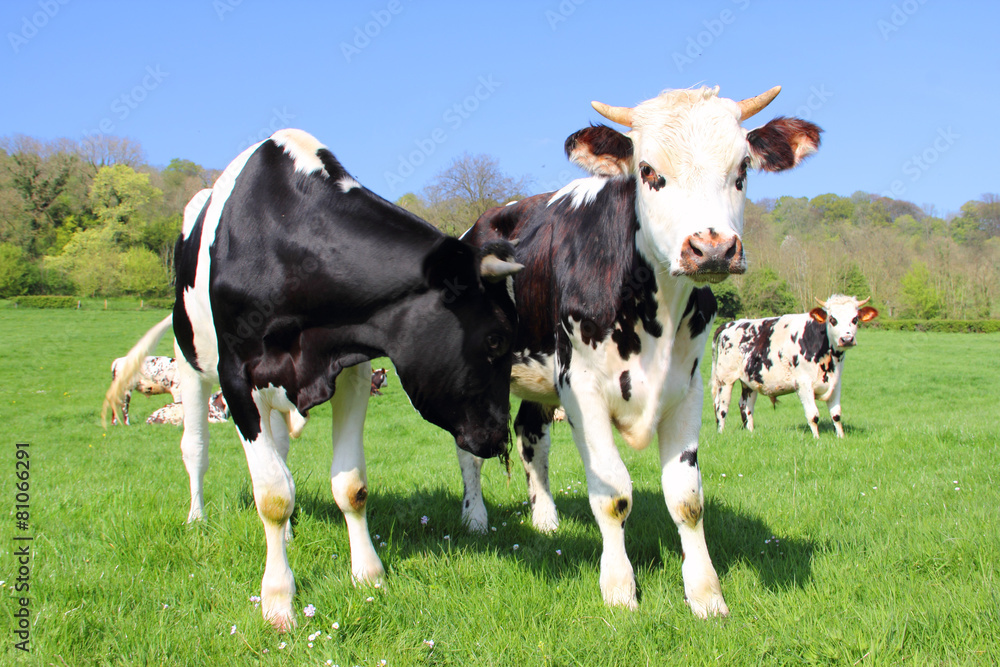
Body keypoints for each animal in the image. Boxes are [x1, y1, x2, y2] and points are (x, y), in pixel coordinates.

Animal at [103, 129, 522, 631]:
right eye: (496, 339)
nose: (500, 437)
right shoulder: (237, 379)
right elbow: (270, 496)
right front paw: (278, 600)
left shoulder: (352, 370)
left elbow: (350, 486)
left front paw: (369, 576)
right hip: (191, 366)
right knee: (197, 450)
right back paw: (197, 518)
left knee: (281, 455)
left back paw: (285, 536)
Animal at [456, 86, 821, 617]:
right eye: (648, 170)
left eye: (742, 169)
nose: (712, 249)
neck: (656, 313)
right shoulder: (581, 387)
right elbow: (612, 495)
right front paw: (619, 588)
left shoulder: (688, 388)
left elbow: (687, 499)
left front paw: (706, 594)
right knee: (471, 448)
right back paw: (475, 517)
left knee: (529, 437)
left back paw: (545, 518)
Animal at [711, 294, 878, 438]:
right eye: (832, 319)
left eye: (855, 319)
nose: (847, 339)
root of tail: (733, 323)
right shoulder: (803, 384)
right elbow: (813, 415)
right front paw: (817, 439)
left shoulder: (836, 382)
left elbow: (836, 415)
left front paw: (840, 437)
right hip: (725, 379)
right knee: (721, 407)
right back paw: (721, 433)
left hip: (749, 381)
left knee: (746, 407)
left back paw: (751, 433)